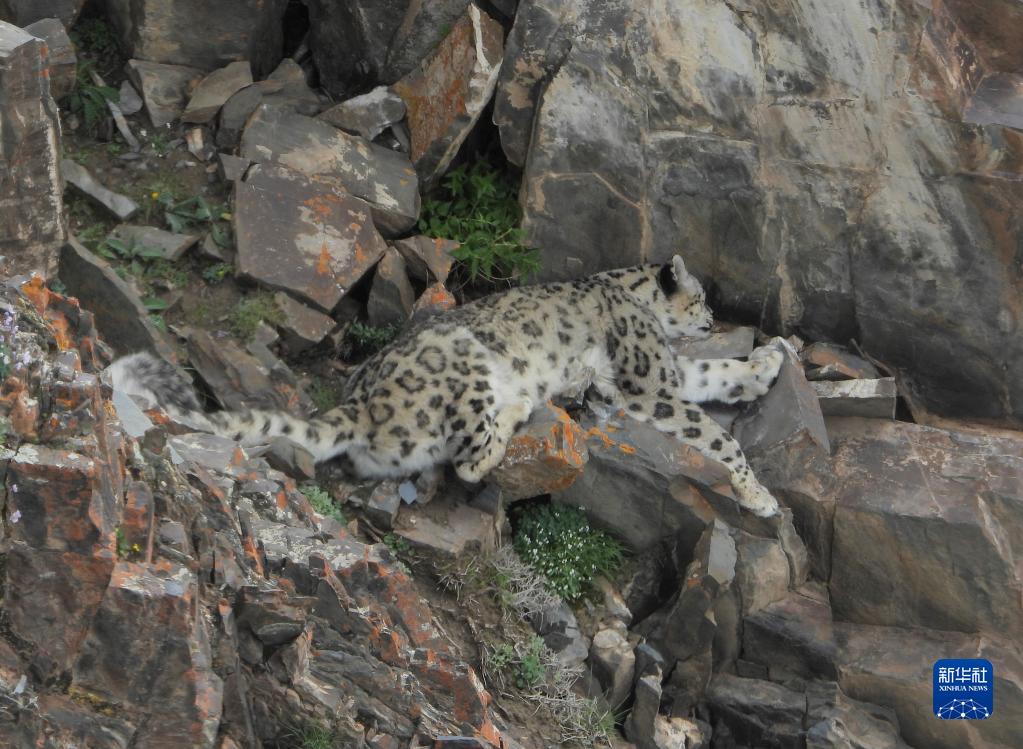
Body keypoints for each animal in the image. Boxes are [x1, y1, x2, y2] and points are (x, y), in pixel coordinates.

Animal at [107, 255, 781, 515]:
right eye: (699, 296)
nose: (712, 321)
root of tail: (360, 403)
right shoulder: (649, 381)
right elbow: (714, 435)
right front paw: (759, 496)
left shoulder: (670, 370)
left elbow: (715, 376)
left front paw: (769, 360)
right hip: (467, 362)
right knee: (470, 459)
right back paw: (527, 414)